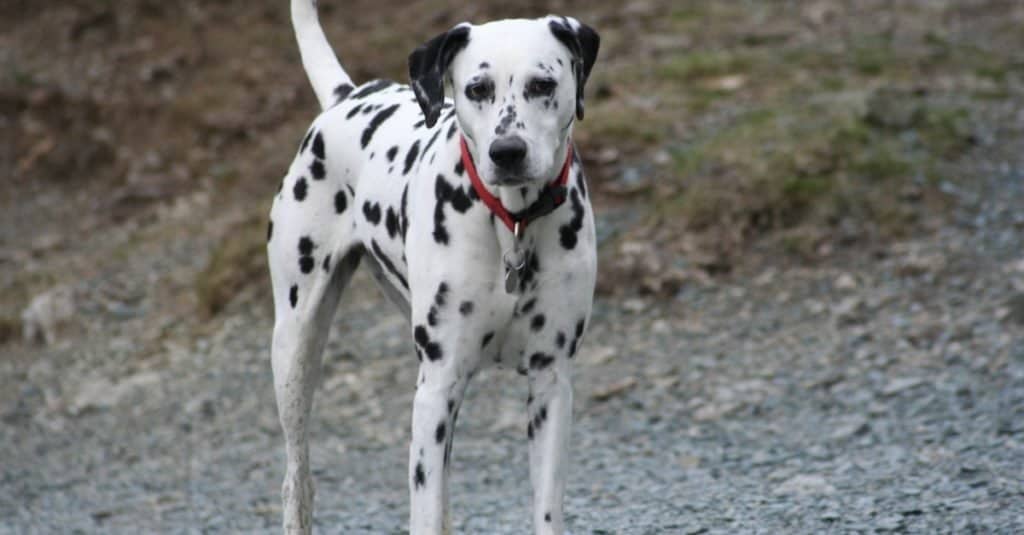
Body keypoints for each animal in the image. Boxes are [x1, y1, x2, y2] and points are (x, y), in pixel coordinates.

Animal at [266, 2, 598, 528]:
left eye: (543, 84)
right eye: (477, 88)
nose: (508, 152)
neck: (511, 222)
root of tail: (346, 95)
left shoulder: (551, 384)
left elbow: (545, 510)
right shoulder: (436, 388)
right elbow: (423, 508)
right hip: (295, 350)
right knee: (297, 479)